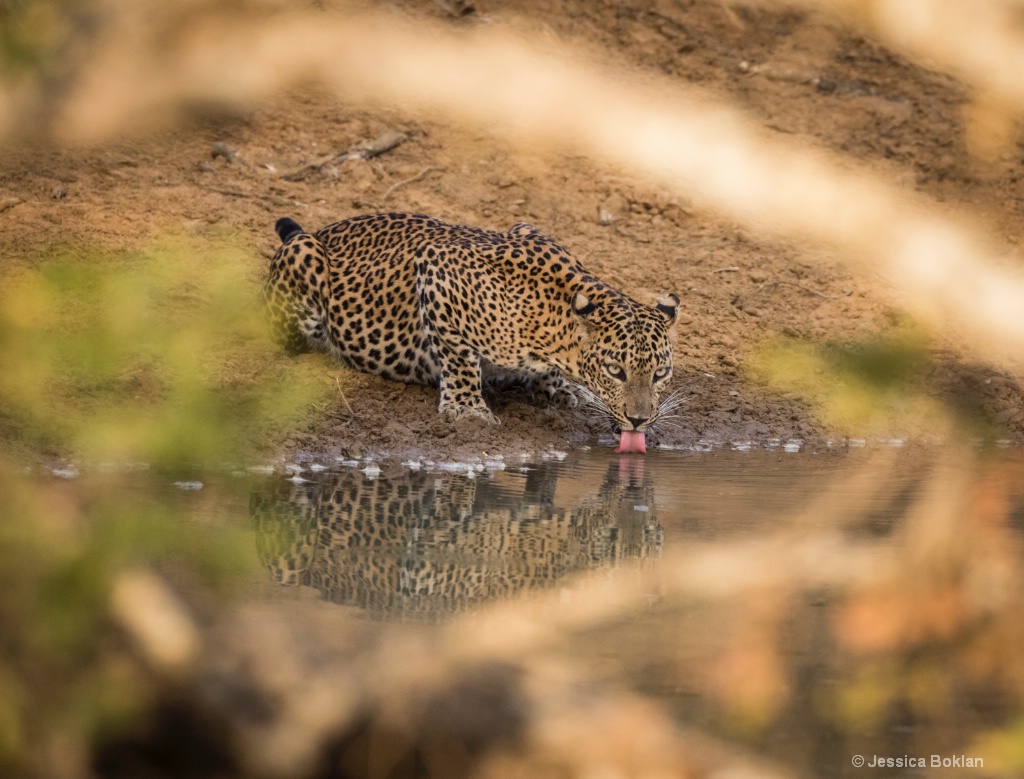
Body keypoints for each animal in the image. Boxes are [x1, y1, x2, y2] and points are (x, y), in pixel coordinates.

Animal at [262, 212, 679, 440]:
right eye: (615, 371)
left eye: (660, 374)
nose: (639, 420)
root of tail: (321, 231)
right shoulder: (436, 267)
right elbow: (459, 357)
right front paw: (469, 410)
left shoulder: (525, 226)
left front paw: (557, 389)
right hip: (303, 257)